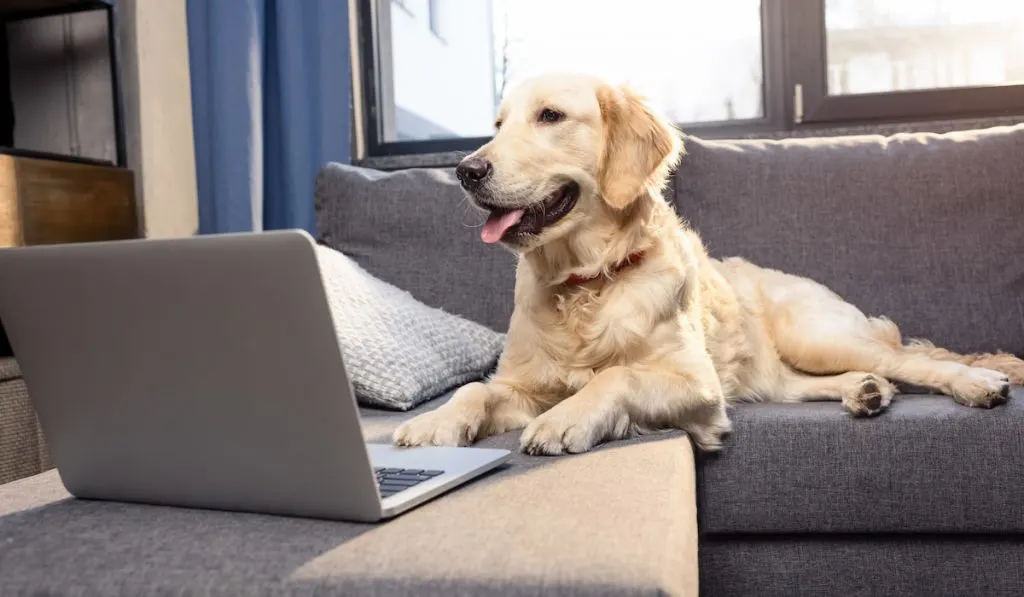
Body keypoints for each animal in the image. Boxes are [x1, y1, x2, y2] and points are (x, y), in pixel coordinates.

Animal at [393, 73, 1024, 458]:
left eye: (550, 115)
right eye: (498, 126)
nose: (466, 171)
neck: (585, 283)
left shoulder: (697, 384)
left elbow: (617, 376)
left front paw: (565, 419)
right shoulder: (522, 383)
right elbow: (473, 391)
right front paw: (433, 423)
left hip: (818, 335)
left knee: (914, 361)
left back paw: (975, 383)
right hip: (775, 372)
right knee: (819, 383)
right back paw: (865, 392)